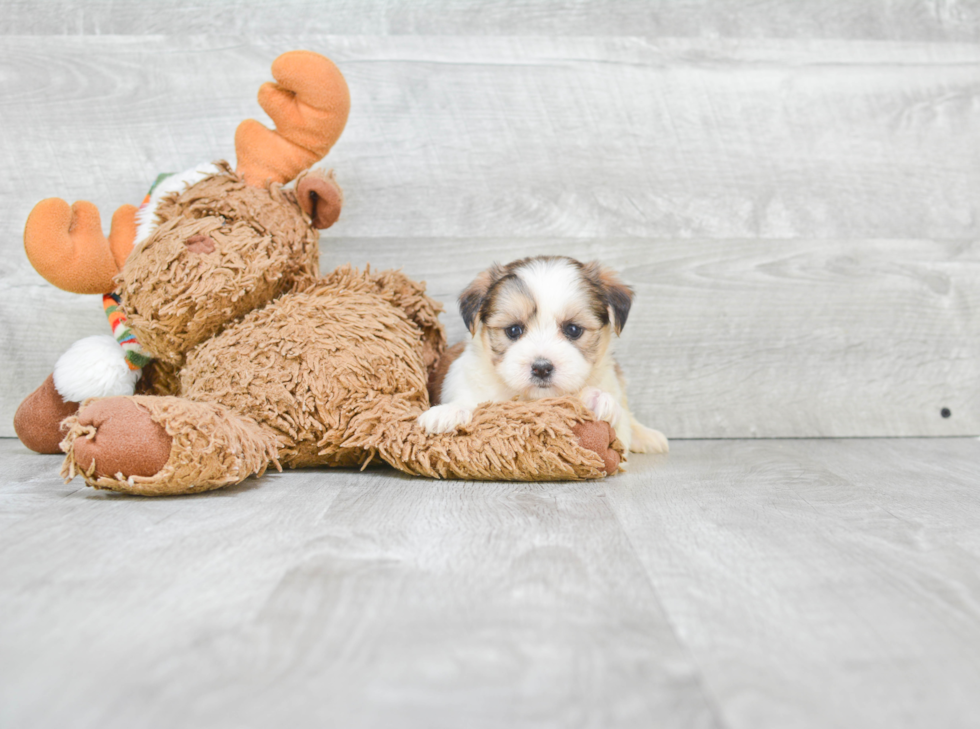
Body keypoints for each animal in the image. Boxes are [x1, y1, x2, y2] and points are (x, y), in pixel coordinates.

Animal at [418, 256, 668, 456]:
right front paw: (449, 412)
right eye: (513, 330)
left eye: (573, 330)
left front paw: (599, 400)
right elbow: (472, 402)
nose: (541, 368)